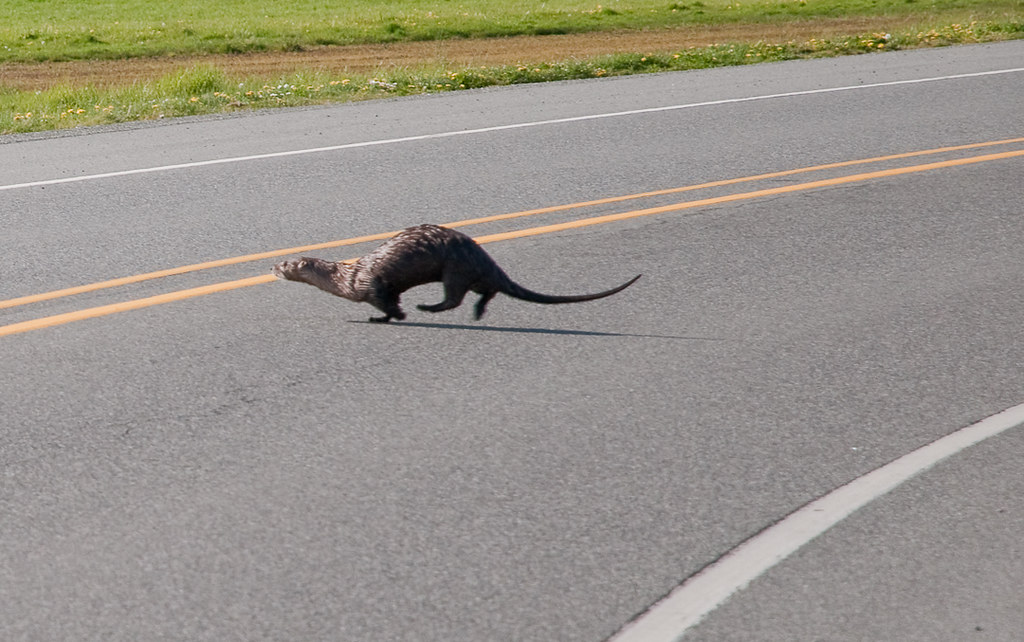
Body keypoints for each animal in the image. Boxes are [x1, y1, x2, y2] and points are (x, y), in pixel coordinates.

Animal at [272, 224, 640, 323]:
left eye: (285, 264)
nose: (271, 266)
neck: (347, 279)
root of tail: (485, 259)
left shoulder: (372, 286)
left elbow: (388, 305)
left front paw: (394, 316)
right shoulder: (381, 288)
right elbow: (390, 303)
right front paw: (388, 316)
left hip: (454, 269)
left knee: (454, 298)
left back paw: (428, 307)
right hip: (472, 273)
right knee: (486, 291)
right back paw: (479, 311)